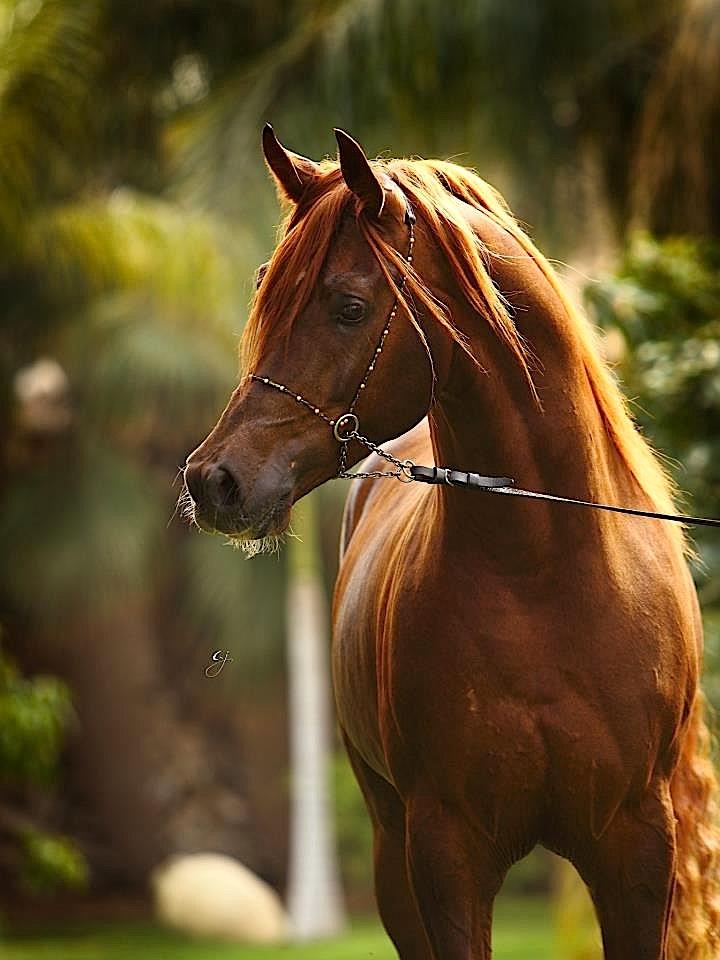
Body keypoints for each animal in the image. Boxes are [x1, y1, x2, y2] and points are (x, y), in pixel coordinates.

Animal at [187, 129, 720, 960]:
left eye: (348, 306)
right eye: (267, 291)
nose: (214, 480)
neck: (543, 578)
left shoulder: (637, 851)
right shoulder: (445, 853)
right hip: (390, 853)